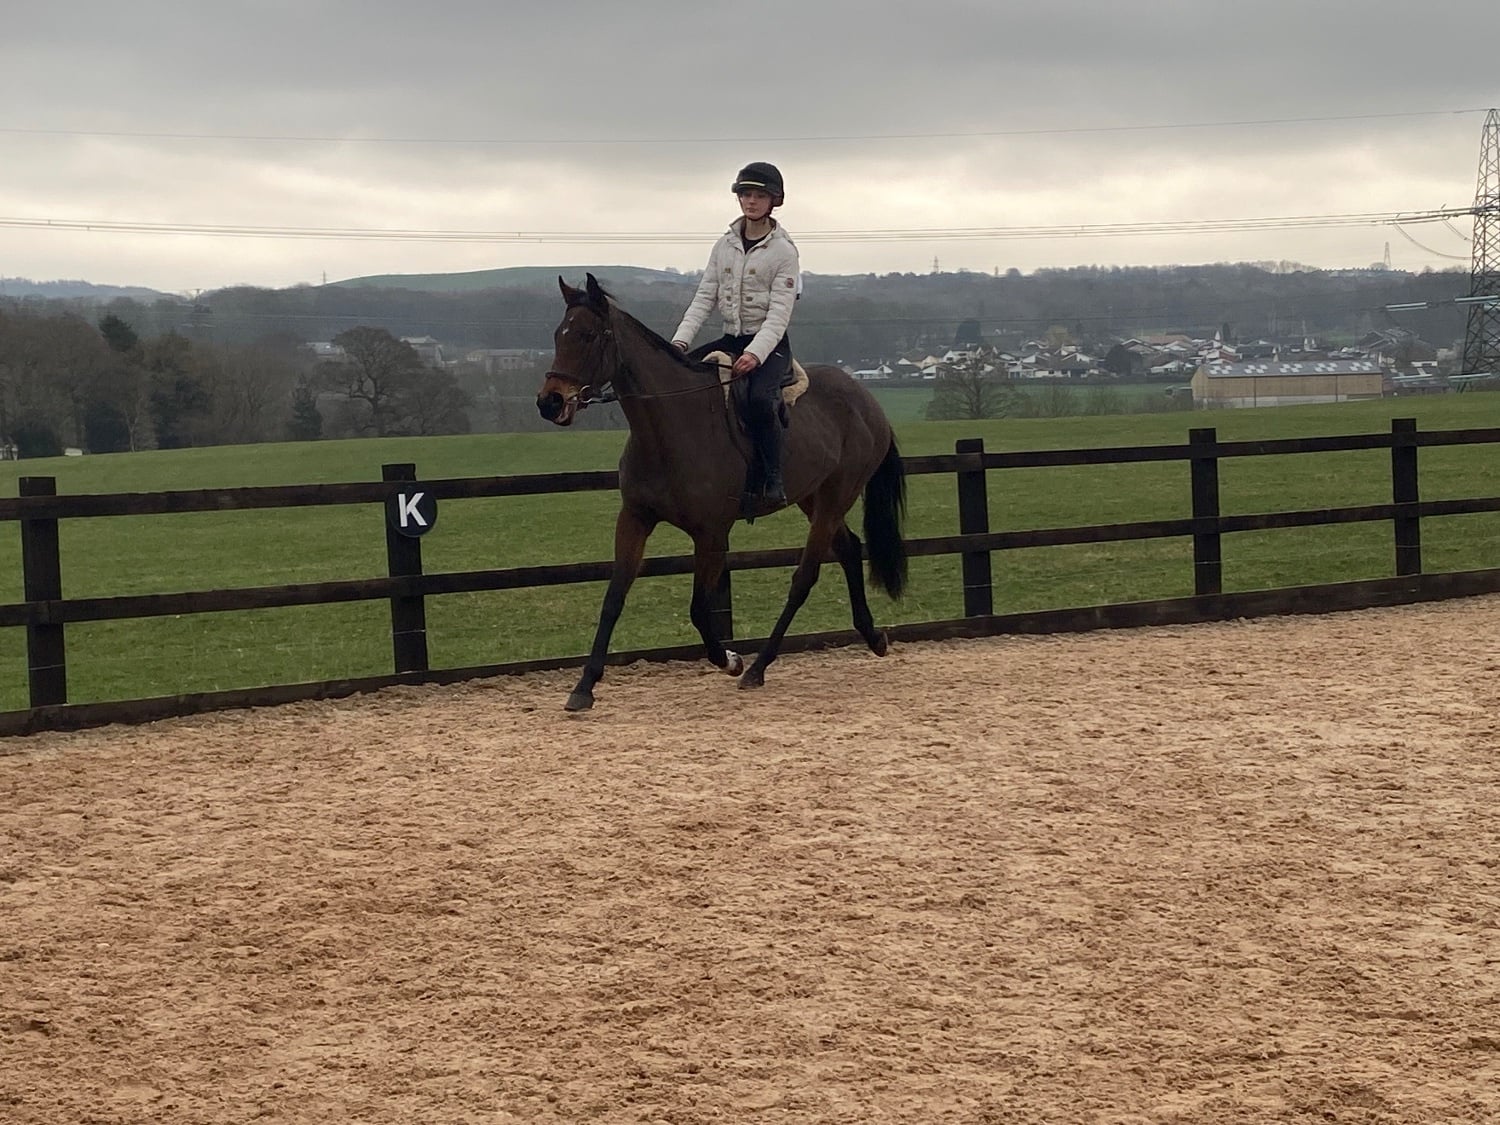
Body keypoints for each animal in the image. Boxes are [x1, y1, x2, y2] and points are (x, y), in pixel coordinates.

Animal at [536, 273, 907, 712]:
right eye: (558, 335)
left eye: (589, 335)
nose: (550, 402)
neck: (670, 428)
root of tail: (867, 401)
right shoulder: (635, 519)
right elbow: (613, 599)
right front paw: (584, 686)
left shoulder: (711, 534)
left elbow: (699, 609)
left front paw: (729, 659)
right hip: (812, 498)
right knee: (849, 548)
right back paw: (873, 637)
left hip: (836, 496)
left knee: (804, 577)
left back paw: (757, 668)